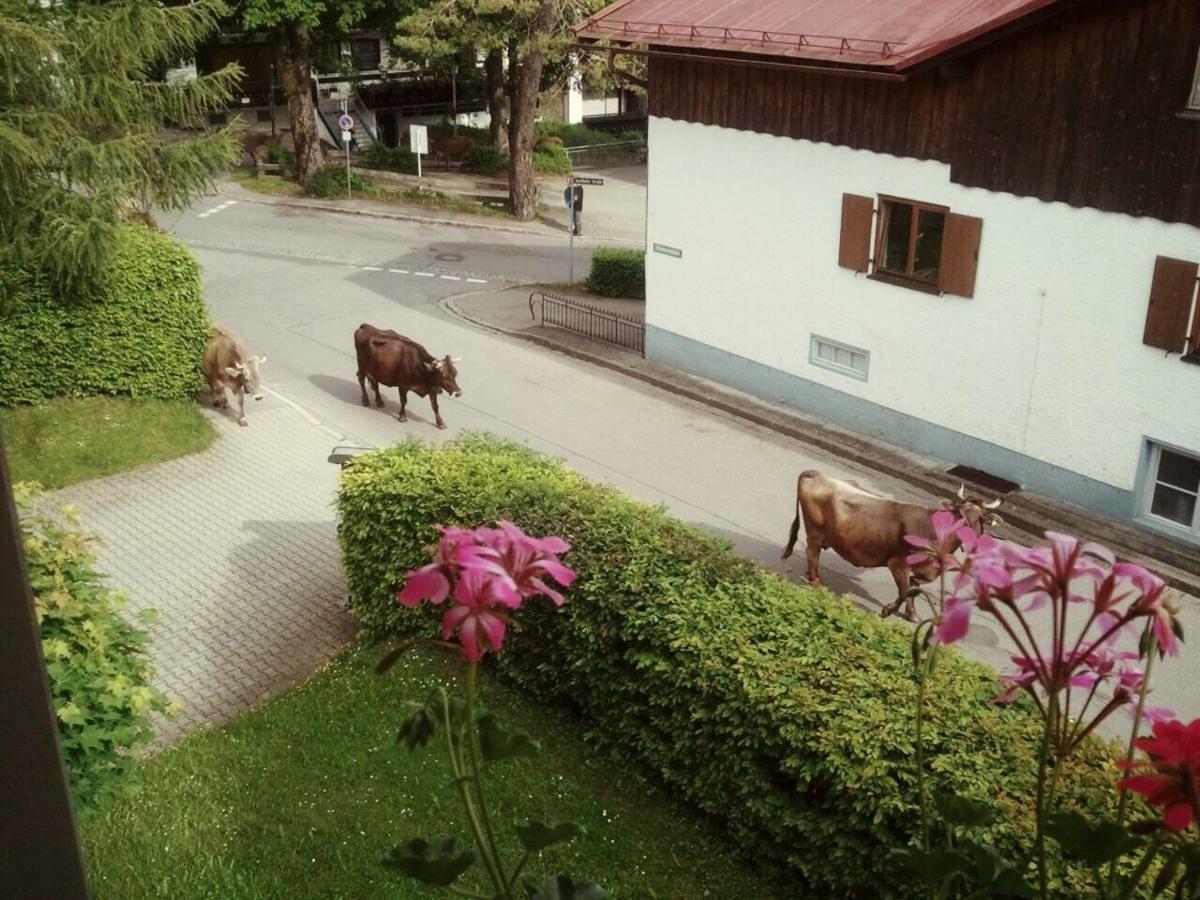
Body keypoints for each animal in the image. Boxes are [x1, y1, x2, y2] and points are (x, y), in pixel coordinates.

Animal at [782, 472, 998, 628]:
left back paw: (810, 576)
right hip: (815, 532)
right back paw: (817, 582)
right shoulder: (898, 564)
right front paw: (887, 611)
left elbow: (913, 591)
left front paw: (912, 614)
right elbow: (908, 591)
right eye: (959, 513)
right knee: (812, 553)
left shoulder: (919, 570)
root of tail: (816, 474)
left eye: (979, 518)